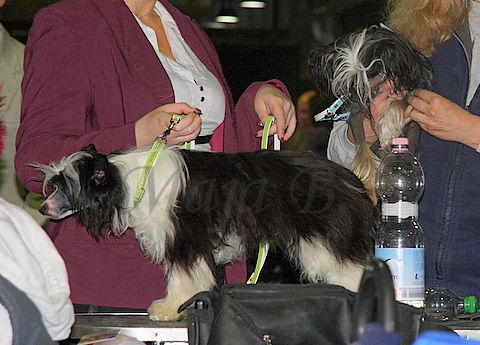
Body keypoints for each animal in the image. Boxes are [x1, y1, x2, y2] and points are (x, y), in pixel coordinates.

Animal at [34, 142, 378, 320]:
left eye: (64, 187)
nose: (42, 210)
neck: (131, 181)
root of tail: (349, 179)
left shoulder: (185, 236)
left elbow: (183, 276)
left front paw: (169, 307)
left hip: (327, 237)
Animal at [310, 25, 434, 200]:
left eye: (370, 80)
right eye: (352, 84)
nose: (354, 98)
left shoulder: (412, 93)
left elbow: (399, 102)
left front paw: (388, 130)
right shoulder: (355, 117)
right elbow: (362, 146)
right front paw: (368, 184)